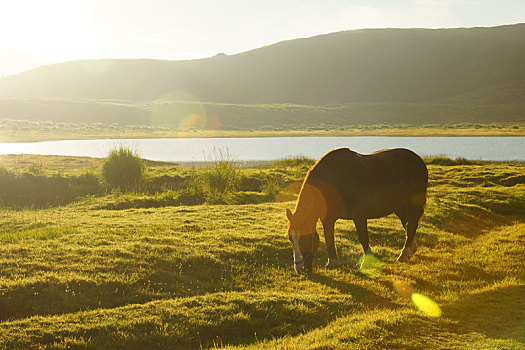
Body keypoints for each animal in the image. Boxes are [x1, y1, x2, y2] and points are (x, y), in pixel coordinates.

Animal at [286, 148, 426, 274]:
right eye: (291, 239)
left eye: (306, 239)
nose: (300, 269)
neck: (334, 181)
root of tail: (418, 160)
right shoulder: (327, 219)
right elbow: (329, 238)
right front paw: (332, 263)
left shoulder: (359, 216)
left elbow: (363, 238)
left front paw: (367, 262)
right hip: (400, 207)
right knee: (408, 225)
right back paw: (411, 250)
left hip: (413, 204)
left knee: (411, 225)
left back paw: (403, 255)